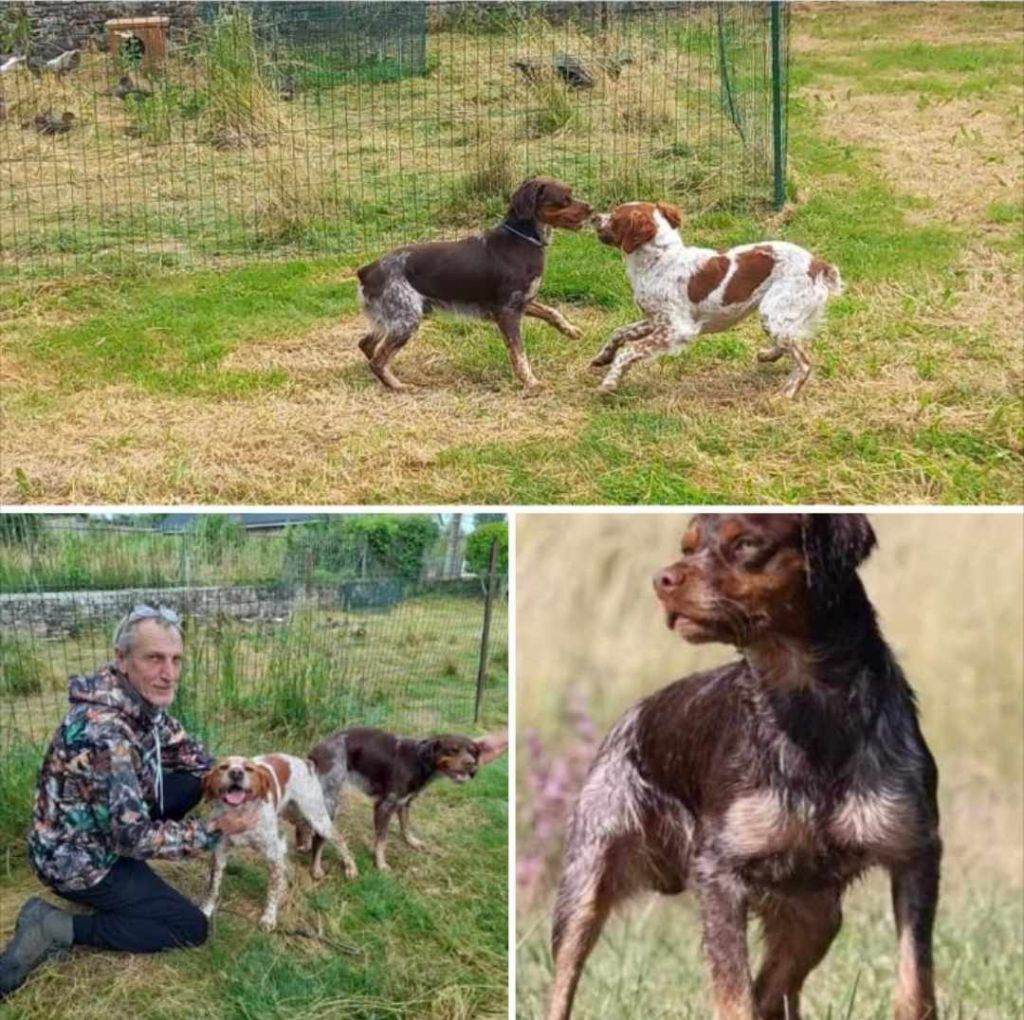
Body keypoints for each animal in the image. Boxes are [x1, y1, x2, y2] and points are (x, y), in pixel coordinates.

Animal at [200, 753, 360, 929]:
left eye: (248, 768)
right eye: (223, 767)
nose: (236, 773)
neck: (239, 813)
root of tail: (305, 762)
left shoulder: (272, 853)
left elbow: (272, 890)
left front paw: (269, 917)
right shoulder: (220, 850)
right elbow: (213, 886)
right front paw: (207, 909)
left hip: (316, 816)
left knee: (337, 839)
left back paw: (348, 868)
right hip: (293, 817)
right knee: (301, 833)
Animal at [548, 518, 937, 1020]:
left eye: (748, 543)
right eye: (687, 548)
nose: (661, 580)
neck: (809, 708)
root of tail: (634, 714)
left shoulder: (914, 853)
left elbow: (914, 986)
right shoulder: (719, 874)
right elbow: (735, 996)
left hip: (815, 916)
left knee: (772, 990)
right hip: (583, 888)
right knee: (562, 984)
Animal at [589, 202, 843, 399]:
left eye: (614, 215)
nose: (594, 217)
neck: (660, 260)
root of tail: (818, 264)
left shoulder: (678, 329)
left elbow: (630, 349)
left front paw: (609, 382)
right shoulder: (656, 320)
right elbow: (620, 333)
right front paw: (603, 357)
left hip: (772, 312)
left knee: (804, 362)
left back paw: (786, 392)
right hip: (777, 318)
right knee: (789, 341)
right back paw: (768, 355)